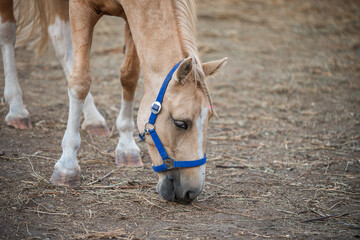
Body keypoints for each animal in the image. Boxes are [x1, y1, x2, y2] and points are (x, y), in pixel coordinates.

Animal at [1, 0, 228, 203]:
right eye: (180, 123)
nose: (192, 191)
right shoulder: (80, 8)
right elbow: (80, 81)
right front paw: (67, 165)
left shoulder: (131, 16)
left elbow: (129, 76)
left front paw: (126, 147)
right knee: (10, 32)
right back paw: (17, 109)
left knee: (58, 37)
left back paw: (93, 119)